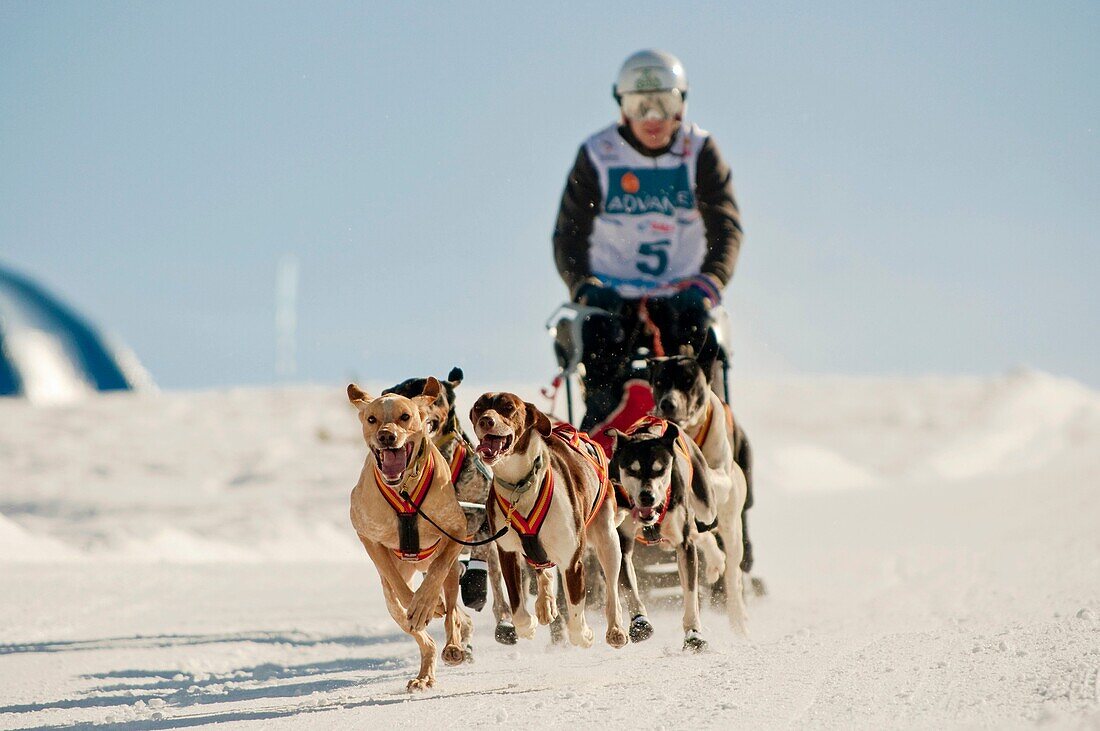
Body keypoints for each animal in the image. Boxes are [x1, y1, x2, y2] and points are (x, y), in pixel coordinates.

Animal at [345, 375, 470, 690]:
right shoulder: (367, 535)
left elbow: (436, 573)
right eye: (372, 419)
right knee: (423, 637)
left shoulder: (457, 529)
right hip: (391, 603)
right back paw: (424, 674)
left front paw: (426, 604)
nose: (386, 436)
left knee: (453, 612)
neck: (404, 490)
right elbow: (396, 583)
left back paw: (452, 643)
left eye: (405, 416)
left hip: (454, 571)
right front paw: (421, 605)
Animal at [385, 367, 517, 641]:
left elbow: (481, 552)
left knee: (495, 577)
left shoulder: (480, 513)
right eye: (403, 394)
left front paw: (475, 585)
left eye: (435, 396)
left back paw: (503, 619)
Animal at [470, 393, 629, 650]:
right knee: (542, 569)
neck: (520, 485)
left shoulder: (572, 561)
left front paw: (585, 634)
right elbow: (518, 610)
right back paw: (545, 604)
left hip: (608, 539)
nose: (486, 420)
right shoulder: (507, 553)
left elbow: (576, 615)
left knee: (612, 589)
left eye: (508, 407)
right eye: (478, 407)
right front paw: (529, 625)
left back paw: (615, 629)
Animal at [611, 415, 730, 650]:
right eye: (632, 470)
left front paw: (693, 634)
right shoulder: (621, 543)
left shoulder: (684, 546)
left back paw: (715, 562)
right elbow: (629, 588)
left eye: (660, 469)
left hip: (705, 509)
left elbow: (690, 594)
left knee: (703, 531)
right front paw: (639, 623)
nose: (647, 496)